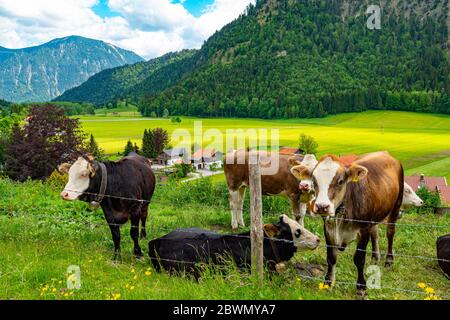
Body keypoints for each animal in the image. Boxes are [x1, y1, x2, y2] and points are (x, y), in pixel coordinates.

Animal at [290, 151, 402, 298]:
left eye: (340, 181)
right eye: (314, 180)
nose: (322, 206)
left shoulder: (363, 229)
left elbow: (359, 259)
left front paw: (361, 288)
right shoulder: (328, 229)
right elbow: (331, 257)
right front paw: (328, 283)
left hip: (396, 205)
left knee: (390, 232)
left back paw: (389, 260)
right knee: (375, 232)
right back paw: (375, 257)